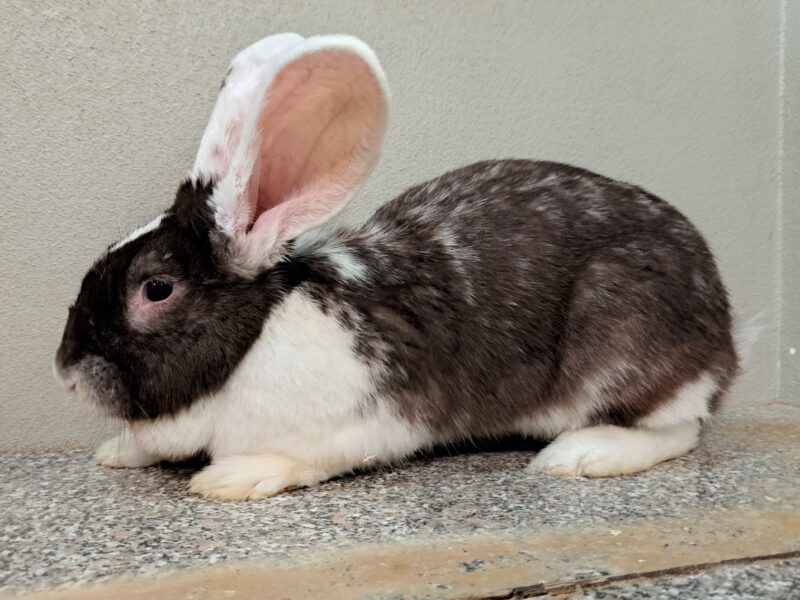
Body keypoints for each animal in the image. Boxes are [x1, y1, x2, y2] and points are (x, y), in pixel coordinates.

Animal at [55, 33, 739, 501]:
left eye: (156, 288)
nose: (66, 372)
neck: (259, 338)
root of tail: (725, 339)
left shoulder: (357, 426)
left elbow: (303, 459)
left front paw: (233, 478)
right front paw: (117, 452)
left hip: (625, 345)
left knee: (679, 430)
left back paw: (581, 454)